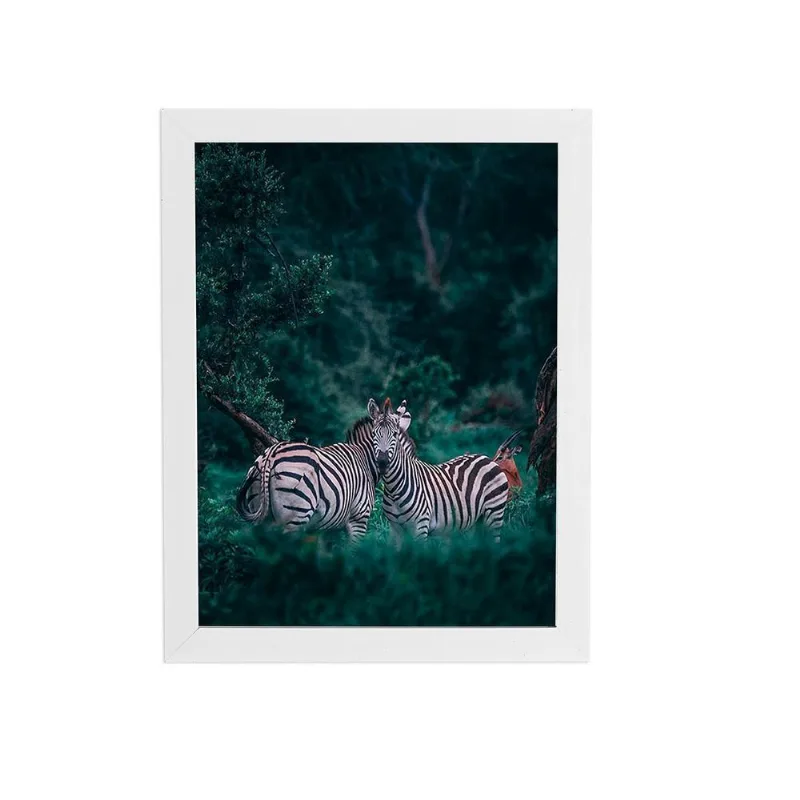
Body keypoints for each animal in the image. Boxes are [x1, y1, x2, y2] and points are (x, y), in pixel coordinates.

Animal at [367, 398, 512, 542]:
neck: (394, 488)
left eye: (395, 434)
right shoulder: (395, 529)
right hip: (476, 522)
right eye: (373, 434)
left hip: (494, 513)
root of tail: (486, 458)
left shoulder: (420, 526)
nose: (382, 463)